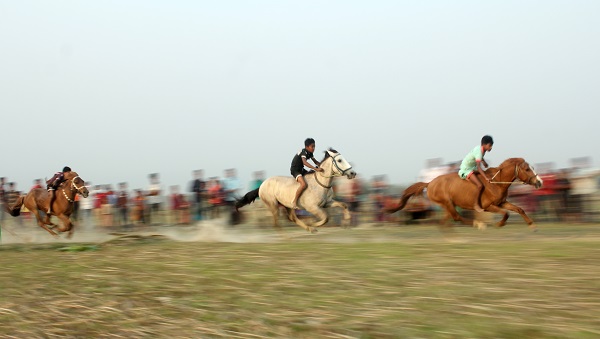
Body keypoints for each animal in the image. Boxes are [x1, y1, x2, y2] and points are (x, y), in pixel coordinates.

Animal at [384, 158, 544, 232]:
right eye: (527, 169)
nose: (539, 182)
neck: (496, 182)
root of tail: (429, 183)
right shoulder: (488, 206)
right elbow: (506, 214)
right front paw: (499, 224)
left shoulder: (501, 202)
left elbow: (519, 209)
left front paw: (533, 226)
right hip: (447, 203)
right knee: (456, 218)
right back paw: (478, 224)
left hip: (448, 205)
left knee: (445, 221)